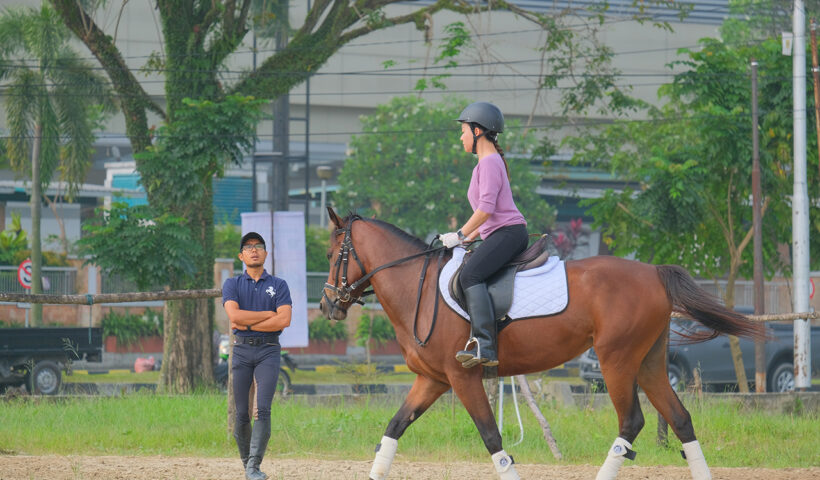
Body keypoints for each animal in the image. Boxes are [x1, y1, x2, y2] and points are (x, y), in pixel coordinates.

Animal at [318, 209, 764, 480]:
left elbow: (493, 440)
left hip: (617, 361)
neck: (420, 289)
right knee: (681, 419)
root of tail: (653, 272)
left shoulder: (463, 379)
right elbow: (393, 429)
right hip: (649, 363)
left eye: (330, 254)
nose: (326, 305)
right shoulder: (432, 380)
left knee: (631, 422)